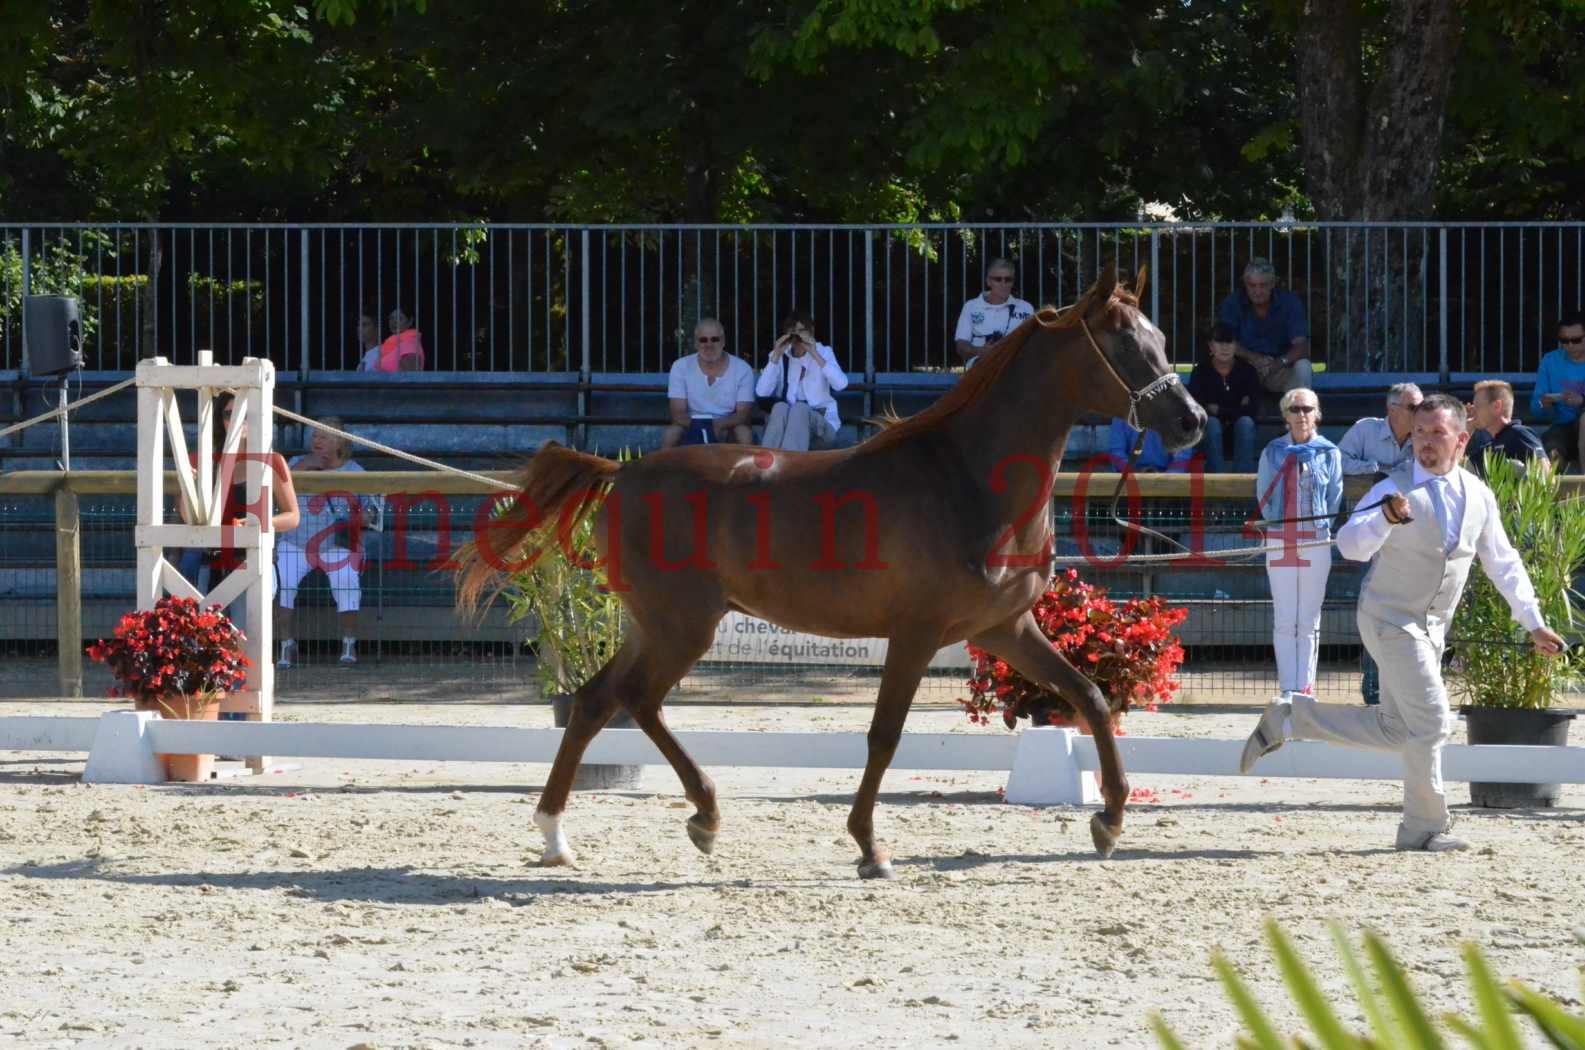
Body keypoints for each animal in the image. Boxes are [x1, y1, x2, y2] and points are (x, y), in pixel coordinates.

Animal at [456, 268, 1198, 875]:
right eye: (1125, 345)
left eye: (1161, 337)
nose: (1190, 421)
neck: (966, 478)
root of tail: (623, 474)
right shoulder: (918, 633)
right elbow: (884, 735)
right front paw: (870, 847)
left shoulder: (1004, 629)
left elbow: (1090, 697)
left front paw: (1109, 822)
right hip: (681, 626)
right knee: (636, 700)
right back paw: (703, 817)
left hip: (652, 624)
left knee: (593, 702)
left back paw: (558, 837)